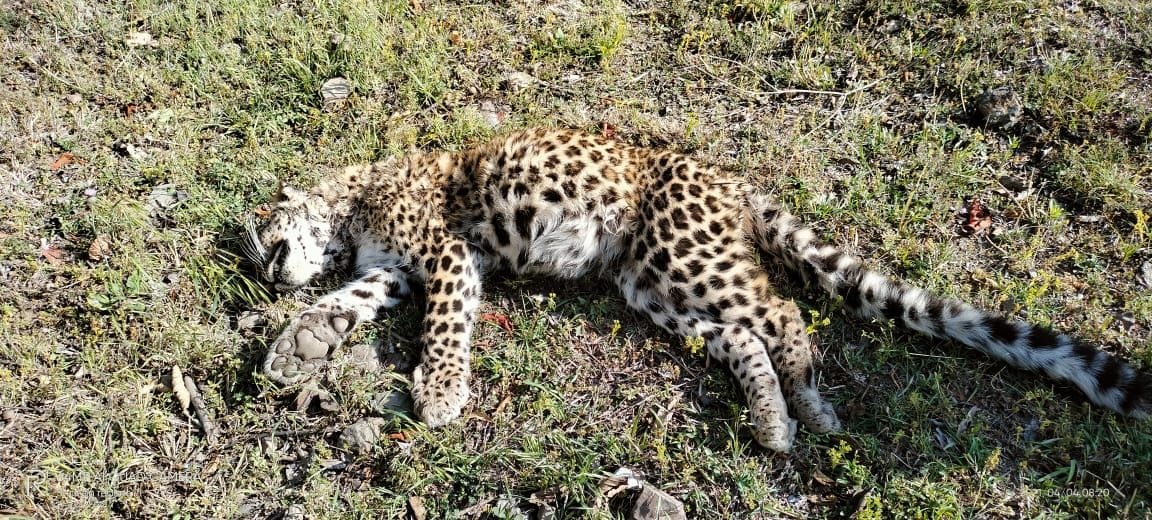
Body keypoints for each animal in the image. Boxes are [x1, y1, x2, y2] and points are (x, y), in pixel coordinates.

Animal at [243, 127, 1151, 452]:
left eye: (262, 225)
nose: (262, 264)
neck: (353, 200)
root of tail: (724, 178)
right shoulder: (394, 271)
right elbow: (342, 302)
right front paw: (294, 344)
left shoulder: (445, 258)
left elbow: (442, 327)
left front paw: (437, 394)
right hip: (653, 285)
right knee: (745, 333)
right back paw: (774, 421)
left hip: (687, 258)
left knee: (782, 311)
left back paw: (811, 405)